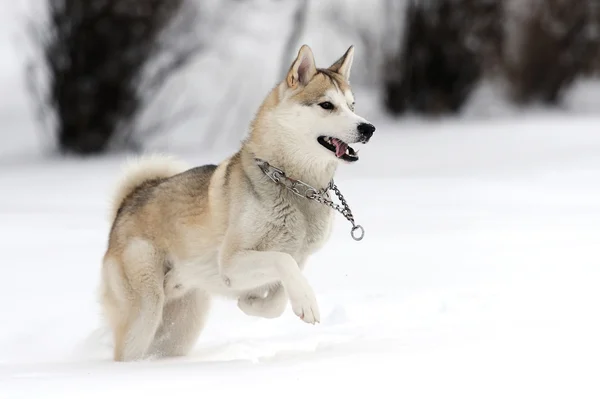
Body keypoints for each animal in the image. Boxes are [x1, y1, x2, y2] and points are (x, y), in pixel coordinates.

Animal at [98, 44, 376, 362]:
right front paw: (305, 302)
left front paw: (251, 303)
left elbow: (278, 300)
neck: (292, 184)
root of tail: (128, 201)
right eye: (327, 105)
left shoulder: (301, 258)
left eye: (352, 106)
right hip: (146, 311)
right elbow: (281, 261)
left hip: (180, 329)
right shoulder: (232, 261)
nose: (368, 128)